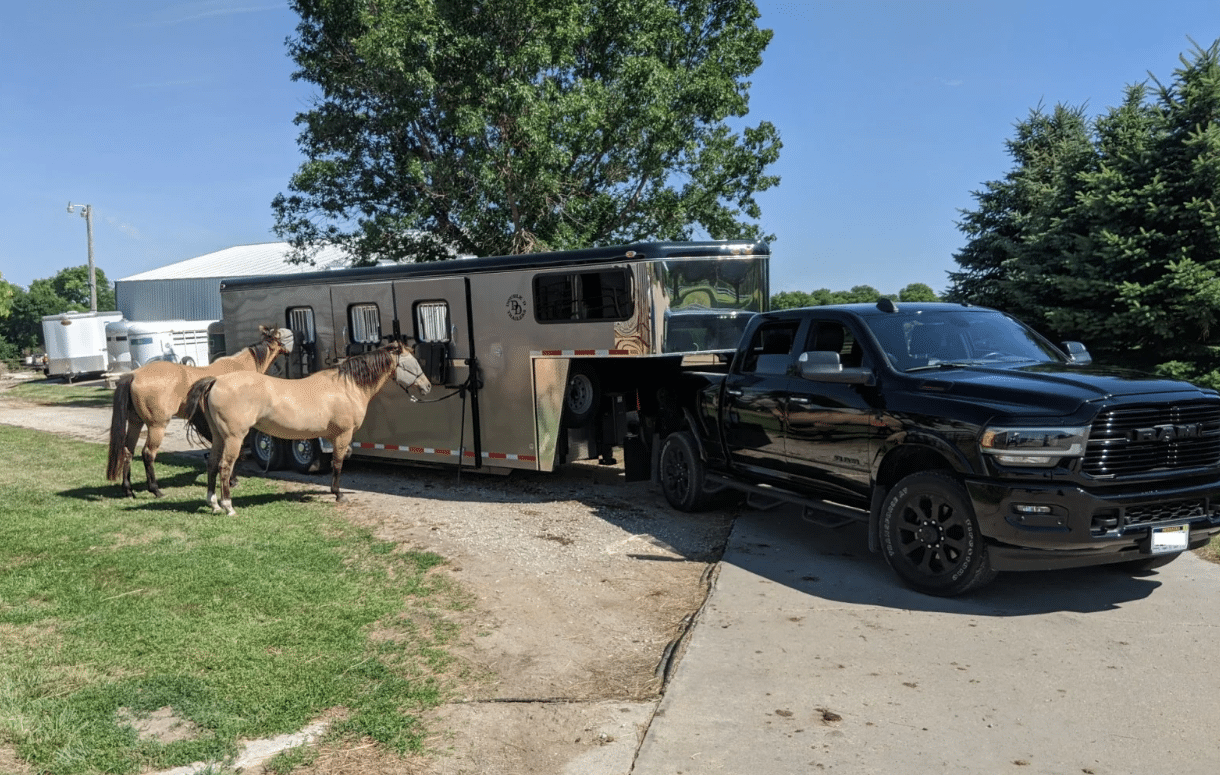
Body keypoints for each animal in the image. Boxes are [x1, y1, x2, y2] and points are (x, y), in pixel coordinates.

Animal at [107, 327, 292, 497]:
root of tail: (134, 375)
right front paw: (232, 480)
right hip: (157, 426)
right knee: (148, 454)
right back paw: (155, 489)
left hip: (135, 423)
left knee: (128, 451)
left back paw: (128, 489)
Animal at [180, 341, 429, 517]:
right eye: (411, 365)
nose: (426, 386)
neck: (346, 386)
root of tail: (216, 382)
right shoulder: (342, 435)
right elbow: (338, 464)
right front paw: (338, 494)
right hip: (233, 437)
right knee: (224, 467)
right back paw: (228, 507)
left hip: (219, 437)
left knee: (212, 464)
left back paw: (213, 504)